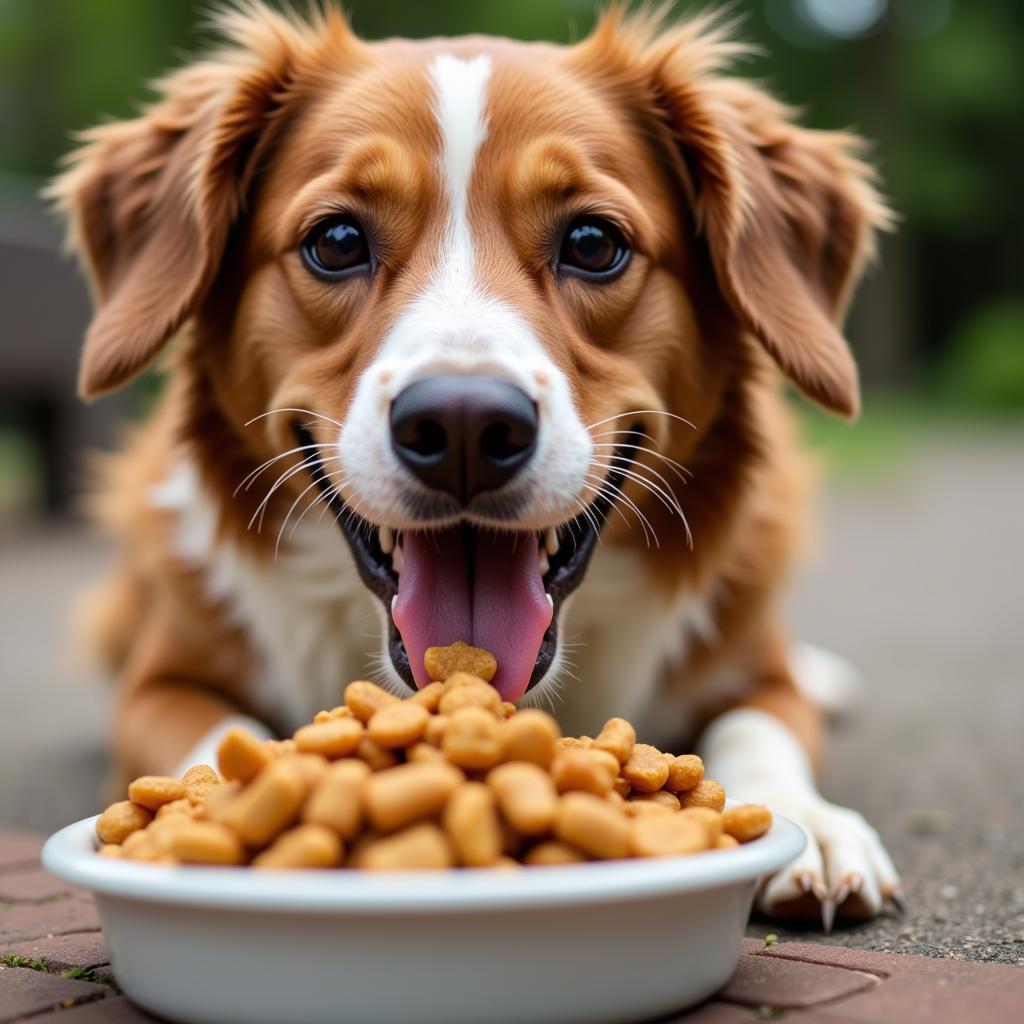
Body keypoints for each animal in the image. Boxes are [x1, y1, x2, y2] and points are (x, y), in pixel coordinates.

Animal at [56, 2, 901, 929]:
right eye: (337, 240)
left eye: (594, 242)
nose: (463, 426)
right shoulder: (159, 685)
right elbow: (216, 737)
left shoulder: (757, 674)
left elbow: (759, 728)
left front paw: (814, 825)